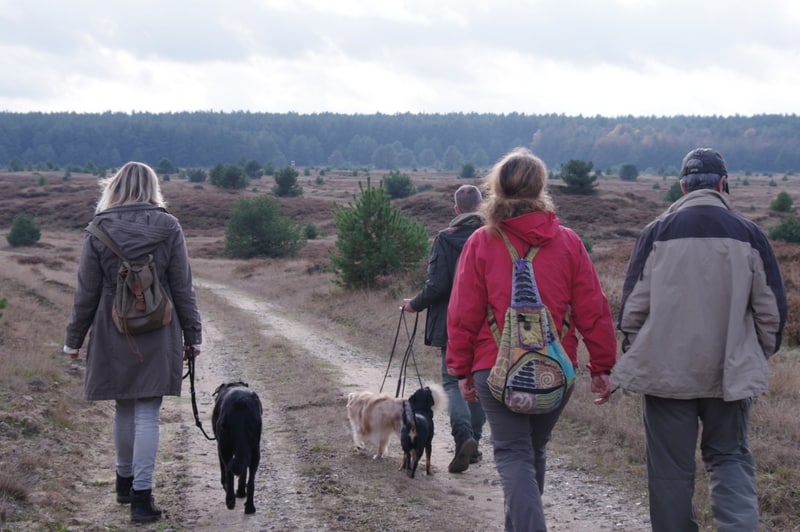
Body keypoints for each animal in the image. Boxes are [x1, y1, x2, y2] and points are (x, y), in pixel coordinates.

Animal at [212, 380, 262, 512]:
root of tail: (241, 403)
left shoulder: (220, 448)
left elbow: (224, 472)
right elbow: (244, 472)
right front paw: (241, 491)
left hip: (224, 448)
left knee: (229, 472)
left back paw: (230, 500)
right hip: (255, 450)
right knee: (251, 481)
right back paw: (249, 507)